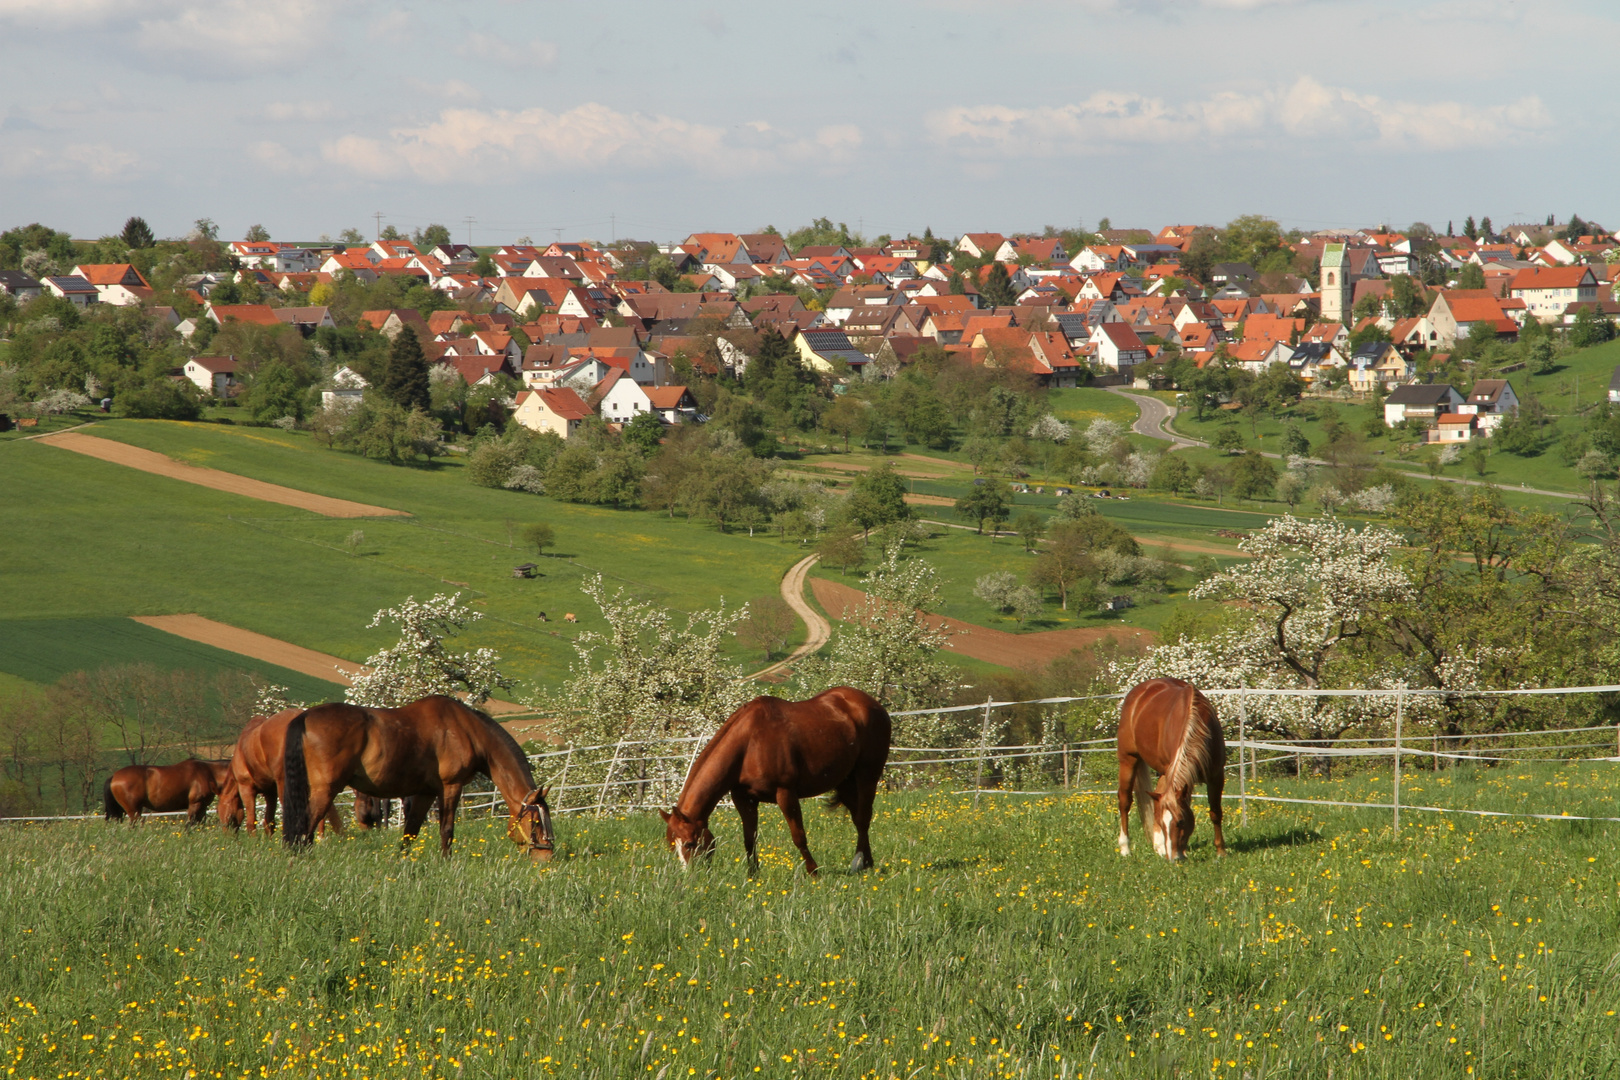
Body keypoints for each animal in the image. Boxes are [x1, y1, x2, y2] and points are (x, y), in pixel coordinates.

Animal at [104, 761, 236, 829]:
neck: (209, 772)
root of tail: (113, 776)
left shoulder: (202, 807)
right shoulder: (195, 804)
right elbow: (190, 825)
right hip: (133, 811)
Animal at [281, 702, 554, 861]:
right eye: (536, 823)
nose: (547, 858)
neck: (468, 729)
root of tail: (304, 717)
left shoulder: (425, 793)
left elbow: (410, 832)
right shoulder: (451, 787)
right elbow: (447, 829)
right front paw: (446, 863)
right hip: (325, 790)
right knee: (305, 829)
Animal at [657, 693, 894, 880]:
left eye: (689, 843)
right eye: (672, 846)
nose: (690, 878)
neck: (749, 744)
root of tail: (870, 703)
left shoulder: (785, 793)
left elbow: (799, 836)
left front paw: (814, 872)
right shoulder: (744, 799)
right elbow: (749, 839)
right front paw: (753, 875)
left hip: (867, 775)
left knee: (863, 818)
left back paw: (860, 863)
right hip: (844, 780)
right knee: (857, 817)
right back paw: (865, 861)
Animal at [1114, 680, 1224, 867]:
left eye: (1181, 821)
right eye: (1163, 823)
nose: (1173, 859)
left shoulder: (1216, 776)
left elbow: (1215, 812)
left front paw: (1220, 852)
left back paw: (1158, 846)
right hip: (1128, 759)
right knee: (1125, 801)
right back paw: (1125, 848)